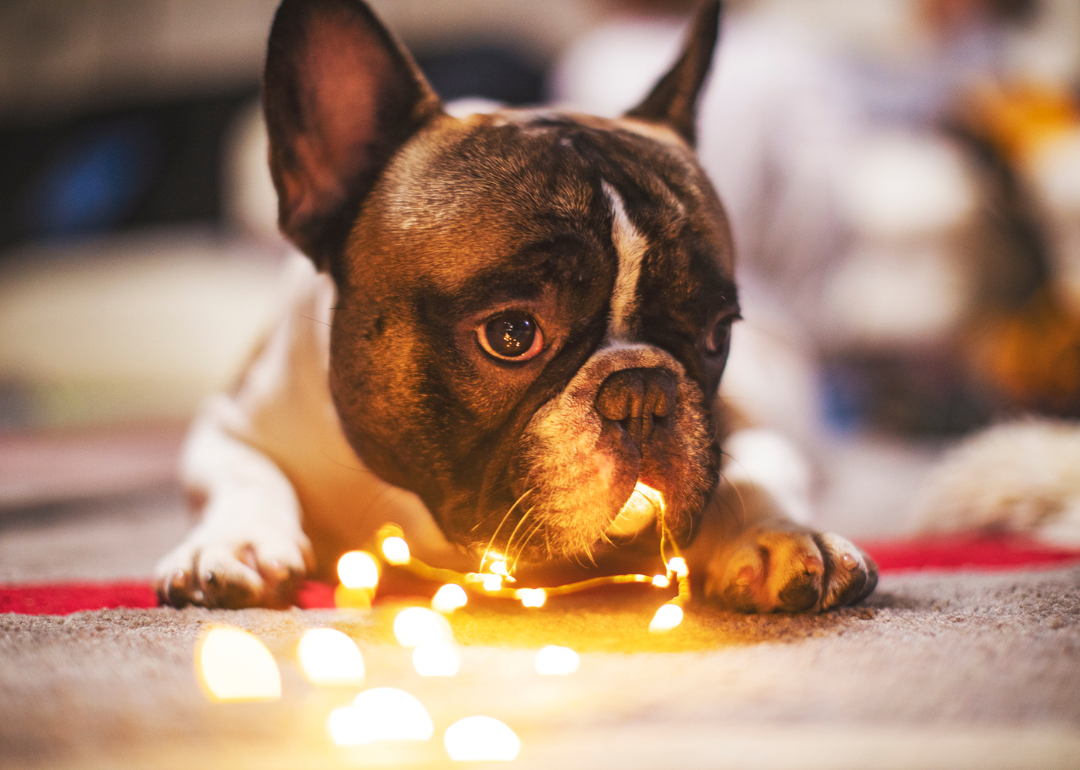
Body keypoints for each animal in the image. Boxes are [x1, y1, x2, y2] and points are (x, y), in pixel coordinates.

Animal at [152, 0, 876, 613]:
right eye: (511, 335)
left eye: (716, 335)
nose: (643, 392)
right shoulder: (233, 421)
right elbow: (243, 472)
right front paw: (235, 543)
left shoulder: (746, 423)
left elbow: (753, 475)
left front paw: (783, 535)